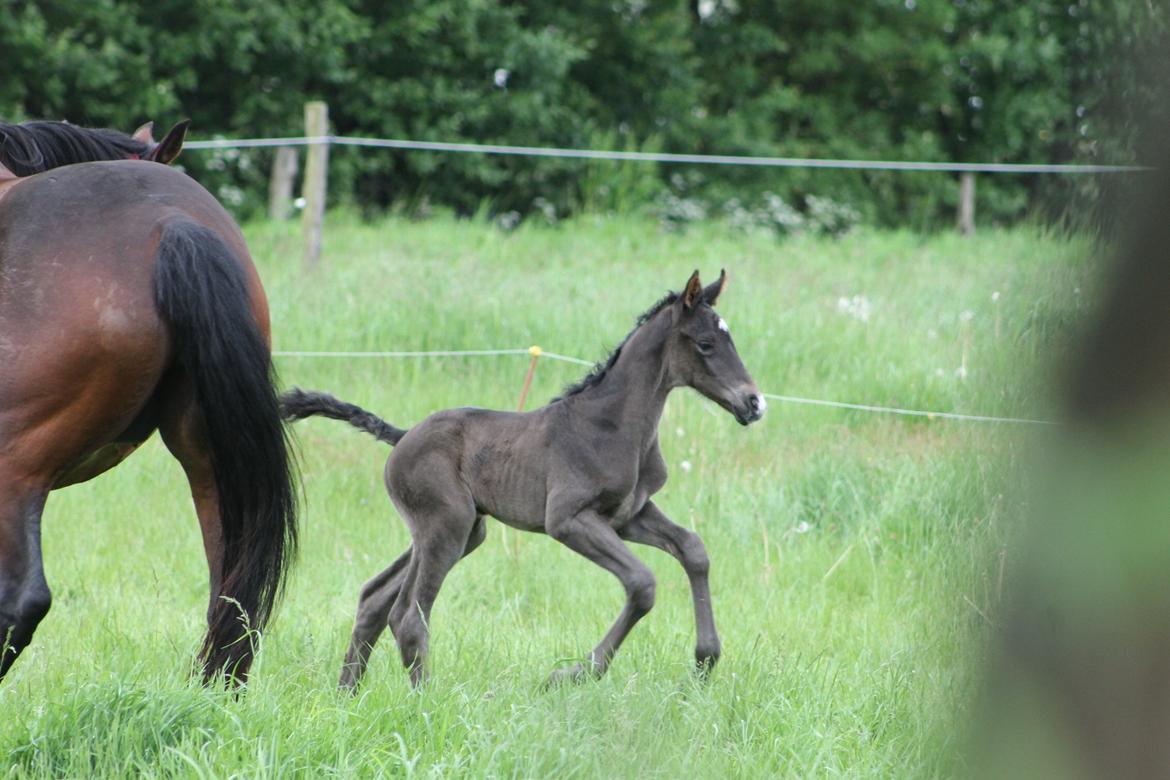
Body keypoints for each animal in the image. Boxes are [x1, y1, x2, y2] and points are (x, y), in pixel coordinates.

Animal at [278, 271, 762, 687]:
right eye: (705, 343)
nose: (754, 403)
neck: (613, 424)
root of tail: (402, 436)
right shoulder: (567, 520)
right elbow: (642, 584)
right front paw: (572, 673)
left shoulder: (629, 514)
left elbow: (694, 550)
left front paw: (705, 660)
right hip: (446, 526)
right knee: (408, 616)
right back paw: (423, 702)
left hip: (460, 530)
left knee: (374, 599)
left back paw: (346, 696)